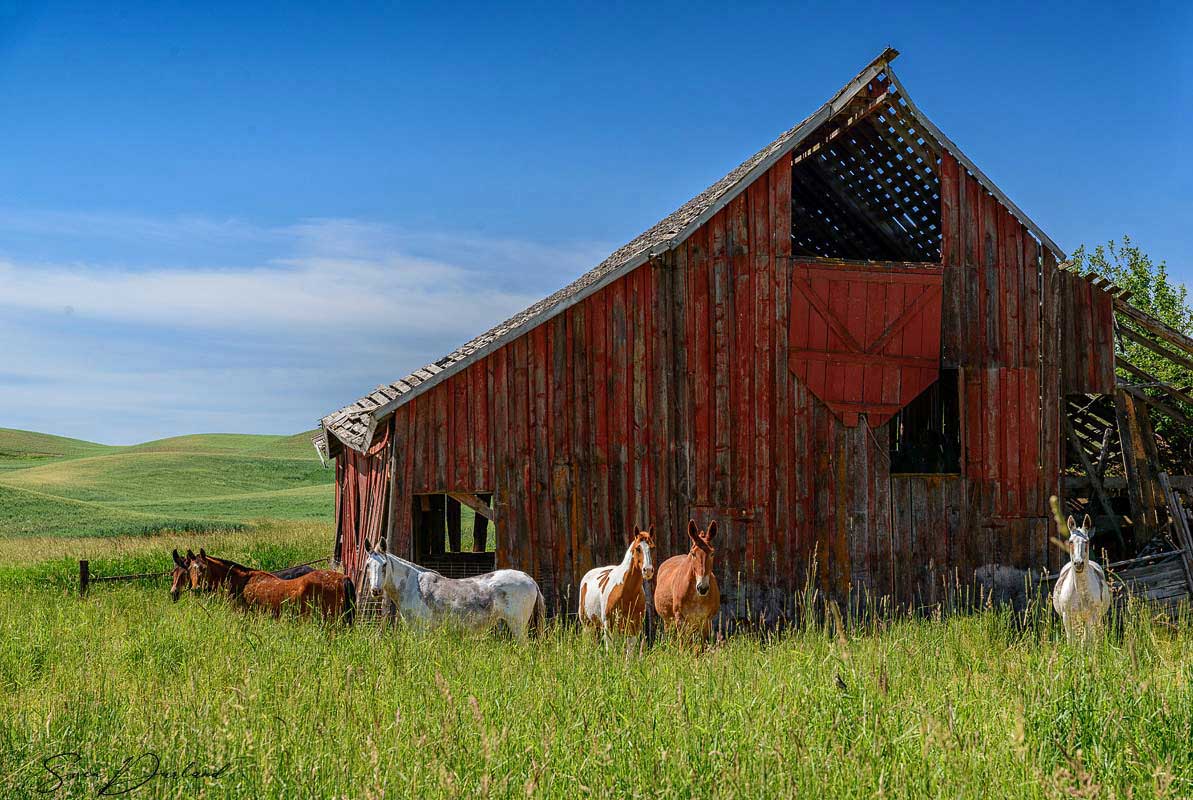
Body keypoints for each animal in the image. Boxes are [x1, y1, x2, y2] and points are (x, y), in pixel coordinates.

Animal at [357, 541, 546, 643]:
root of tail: (529, 579)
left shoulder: (420, 629)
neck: (412, 586)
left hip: (517, 625)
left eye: (384, 565)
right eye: (367, 565)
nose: (375, 591)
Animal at [1049, 498, 1111, 643]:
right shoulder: (1067, 617)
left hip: (1095, 618)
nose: (1078, 563)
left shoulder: (1091, 616)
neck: (1080, 592)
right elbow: (1072, 641)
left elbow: (1087, 641)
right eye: (1071, 541)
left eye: (1087, 541)